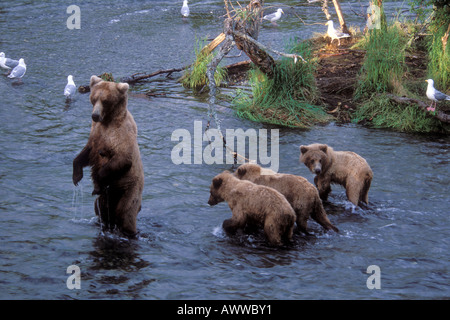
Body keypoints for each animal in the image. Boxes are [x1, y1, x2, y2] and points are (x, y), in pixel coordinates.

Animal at [73, 74, 144, 235]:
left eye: (105, 100)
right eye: (94, 98)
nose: (95, 115)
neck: (107, 121)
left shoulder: (121, 135)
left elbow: (122, 159)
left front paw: (97, 183)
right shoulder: (95, 133)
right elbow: (86, 153)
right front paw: (77, 176)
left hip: (130, 189)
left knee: (126, 214)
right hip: (107, 199)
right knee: (101, 209)